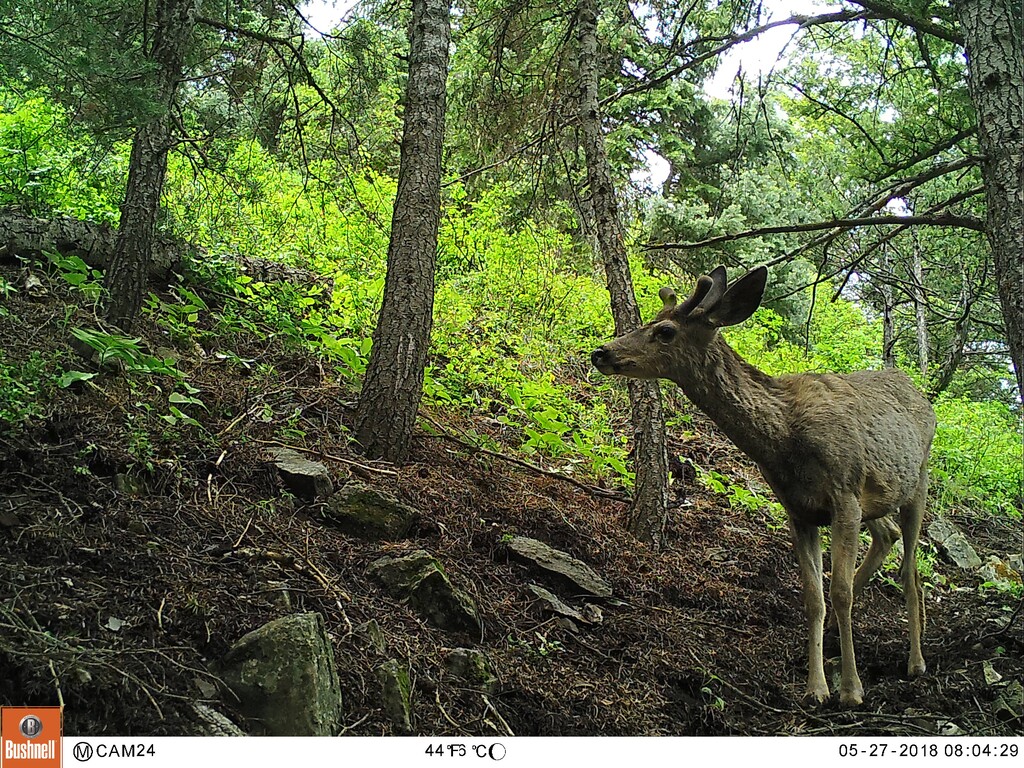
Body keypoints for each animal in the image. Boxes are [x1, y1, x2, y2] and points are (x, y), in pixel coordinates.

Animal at [591, 265, 936, 707]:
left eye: (665, 331)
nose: (602, 352)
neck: (784, 438)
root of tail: (920, 395)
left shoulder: (843, 492)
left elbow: (839, 591)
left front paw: (851, 690)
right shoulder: (799, 508)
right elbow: (814, 597)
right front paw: (816, 687)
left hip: (917, 481)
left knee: (910, 571)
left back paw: (916, 661)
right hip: (875, 496)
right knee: (887, 535)